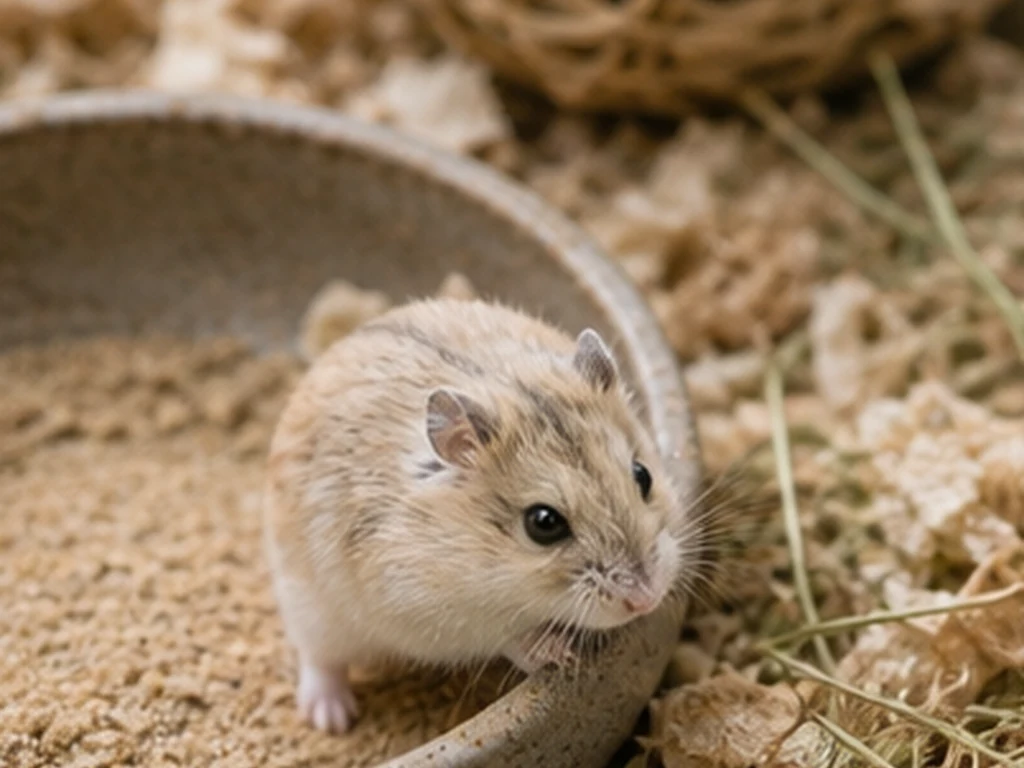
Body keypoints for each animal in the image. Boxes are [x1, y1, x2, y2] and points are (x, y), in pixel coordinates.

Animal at [263, 298, 685, 734]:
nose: (647, 599)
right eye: (543, 523)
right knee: (319, 660)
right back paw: (331, 718)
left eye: (643, 475)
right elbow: (509, 636)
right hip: (308, 606)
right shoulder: (433, 613)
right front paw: (558, 652)